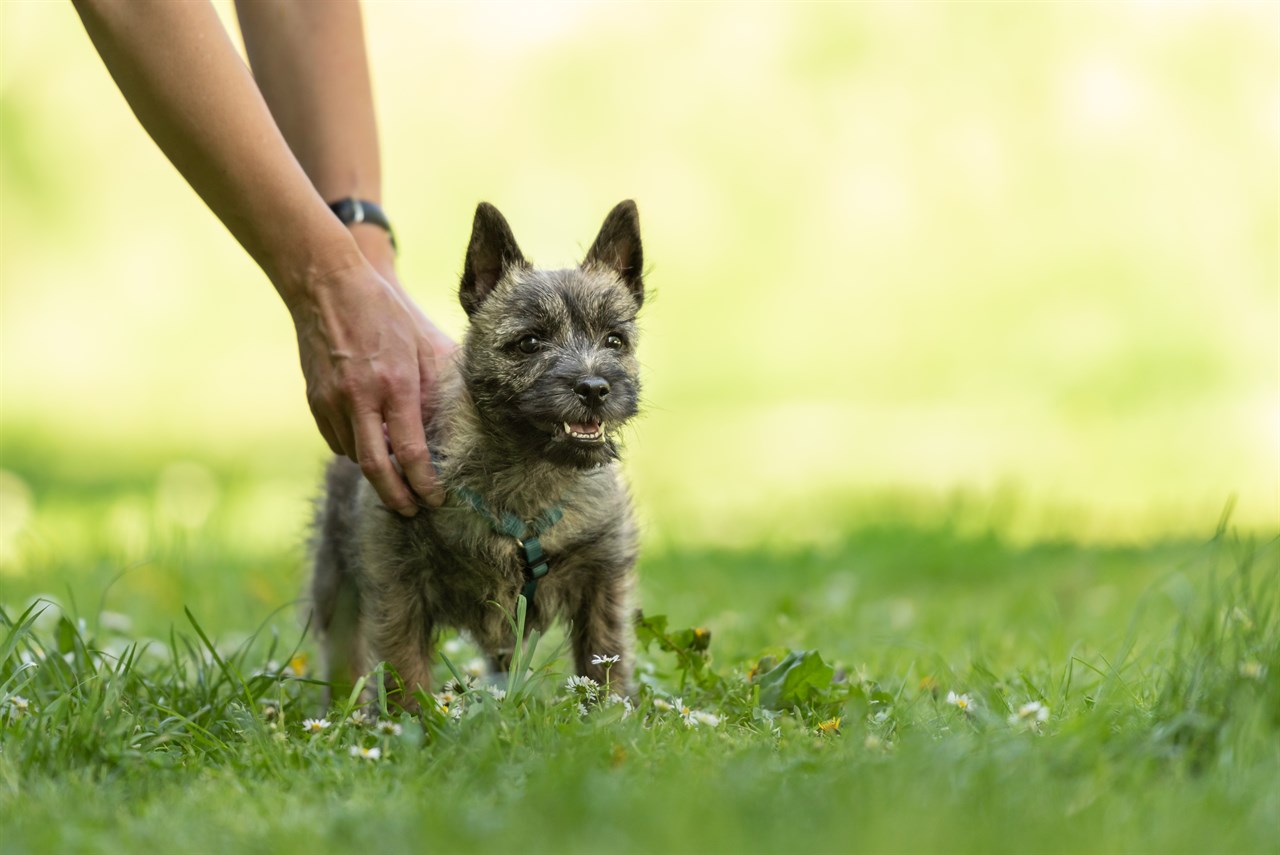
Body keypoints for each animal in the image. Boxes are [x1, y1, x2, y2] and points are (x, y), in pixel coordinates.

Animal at [308, 200, 645, 706]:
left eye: (614, 340)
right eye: (530, 342)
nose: (594, 387)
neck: (530, 477)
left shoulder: (602, 582)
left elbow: (604, 657)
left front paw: (609, 714)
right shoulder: (398, 585)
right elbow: (405, 668)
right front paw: (413, 721)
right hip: (336, 584)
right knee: (344, 652)